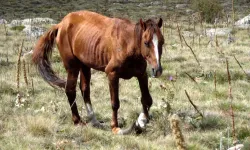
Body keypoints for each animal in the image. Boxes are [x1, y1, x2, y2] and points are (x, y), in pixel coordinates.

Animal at [32, 10, 164, 135]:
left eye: (162, 42)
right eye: (146, 42)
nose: (157, 70)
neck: (128, 44)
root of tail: (60, 24)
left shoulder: (142, 74)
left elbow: (147, 99)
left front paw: (141, 121)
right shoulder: (112, 74)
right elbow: (115, 103)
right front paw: (115, 127)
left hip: (85, 65)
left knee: (85, 90)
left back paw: (94, 121)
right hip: (72, 67)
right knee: (70, 90)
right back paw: (77, 121)